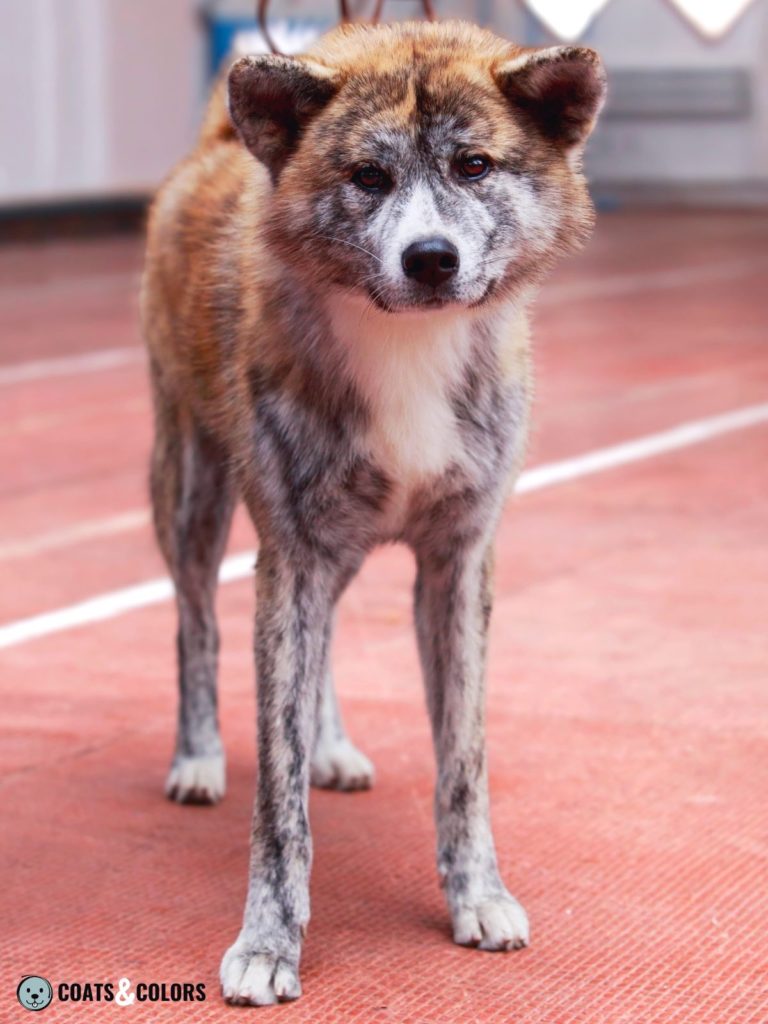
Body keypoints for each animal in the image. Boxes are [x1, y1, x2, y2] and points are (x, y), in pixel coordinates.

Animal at [140, 19, 606, 1003]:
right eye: (367, 176)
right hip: (192, 493)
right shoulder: (291, 555)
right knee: (196, 622)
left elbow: (463, 762)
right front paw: (269, 942)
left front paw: (478, 896)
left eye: (474, 165)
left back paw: (331, 744)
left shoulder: (457, 564)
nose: (430, 259)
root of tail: (218, 144)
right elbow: (277, 799)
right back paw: (197, 756)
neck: (407, 344)